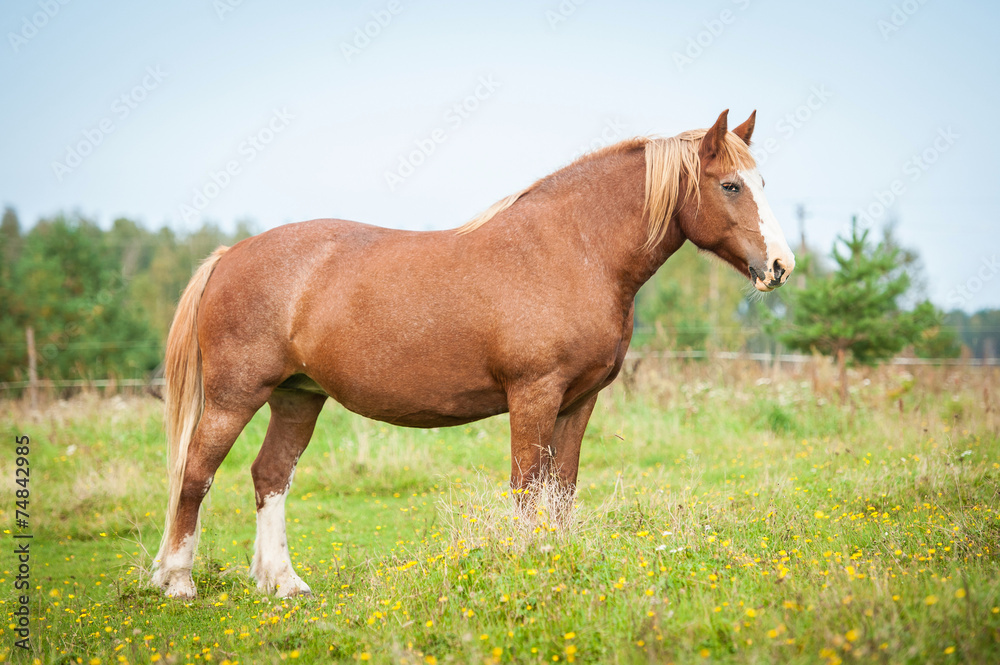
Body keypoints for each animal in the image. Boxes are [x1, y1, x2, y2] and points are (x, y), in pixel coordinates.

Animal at [150, 109, 796, 596]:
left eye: (763, 184)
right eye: (731, 185)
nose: (781, 266)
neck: (572, 250)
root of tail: (228, 256)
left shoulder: (578, 401)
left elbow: (562, 488)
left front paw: (558, 560)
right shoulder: (535, 394)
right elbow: (528, 486)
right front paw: (528, 563)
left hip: (297, 397)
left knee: (271, 476)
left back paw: (284, 583)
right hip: (236, 396)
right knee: (196, 473)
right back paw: (178, 582)